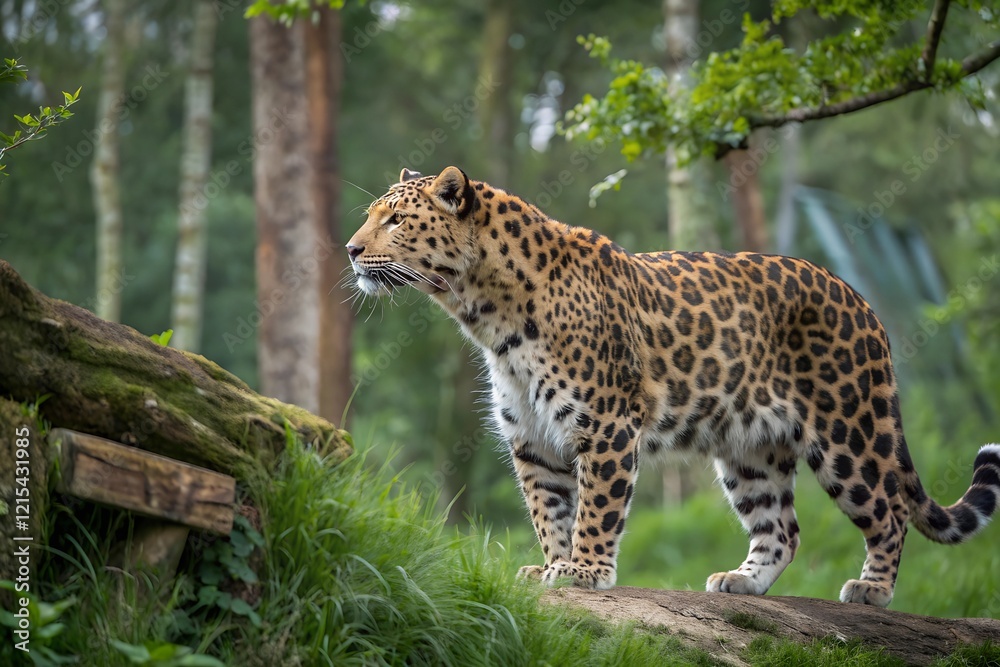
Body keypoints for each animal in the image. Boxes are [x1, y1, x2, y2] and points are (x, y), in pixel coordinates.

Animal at [346, 165, 1000, 607]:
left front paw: (586, 571)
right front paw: (551, 567)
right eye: (371, 214)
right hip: (751, 448)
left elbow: (597, 508)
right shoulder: (532, 440)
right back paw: (742, 581)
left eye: (396, 220)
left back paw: (872, 590)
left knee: (889, 512)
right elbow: (548, 511)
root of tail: (861, 300)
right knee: (781, 528)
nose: (351, 250)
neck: (483, 312)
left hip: (849, 434)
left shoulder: (605, 424)